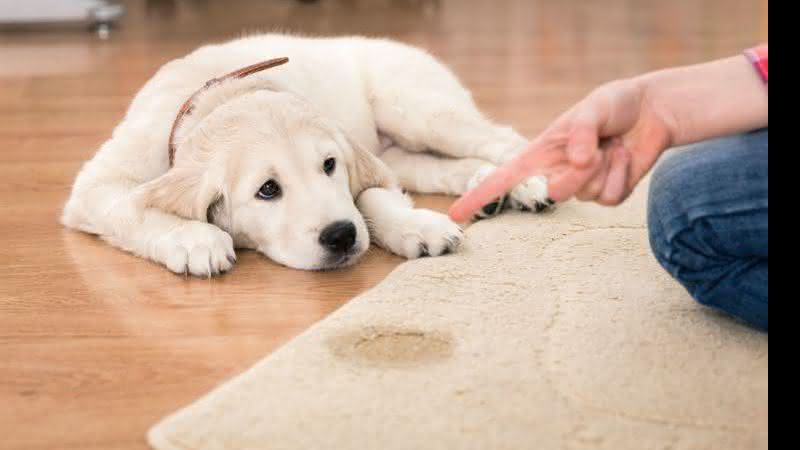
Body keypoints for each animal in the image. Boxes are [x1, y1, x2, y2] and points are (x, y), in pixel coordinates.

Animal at [61, 34, 552, 274]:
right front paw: (194, 239)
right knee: (442, 166)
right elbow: (133, 208)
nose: (341, 237)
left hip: (417, 109)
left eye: (329, 165)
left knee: (501, 138)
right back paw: (486, 188)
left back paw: (526, 183)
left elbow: (370, 197)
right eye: (267, 190)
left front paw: (415, 226)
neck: (219, 94)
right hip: (402, 149)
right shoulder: (96, 186)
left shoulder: (361, 164)